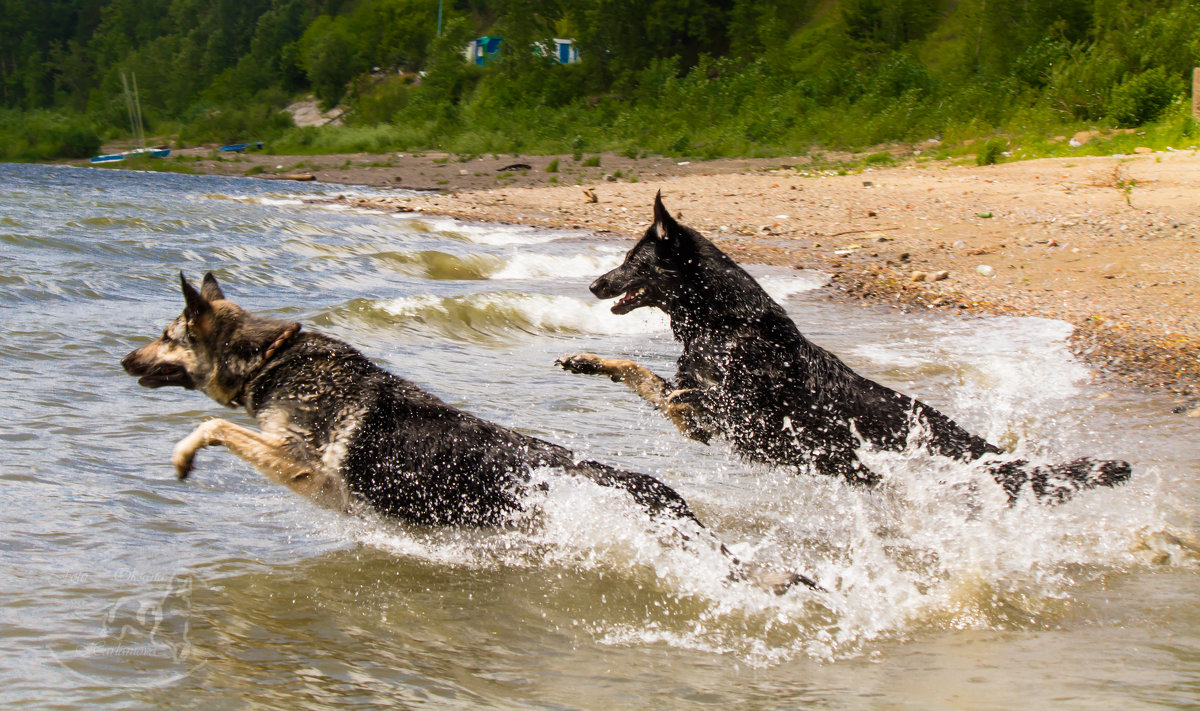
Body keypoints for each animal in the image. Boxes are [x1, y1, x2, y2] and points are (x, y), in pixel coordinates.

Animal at [556, 194, 1128, 502]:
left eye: (634, 260)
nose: (593, 284)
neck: (722, 323)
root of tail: (977, 444)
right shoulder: (698, 419)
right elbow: (636, 371)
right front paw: (588, 361)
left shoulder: (738, 412)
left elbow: (686, 394)